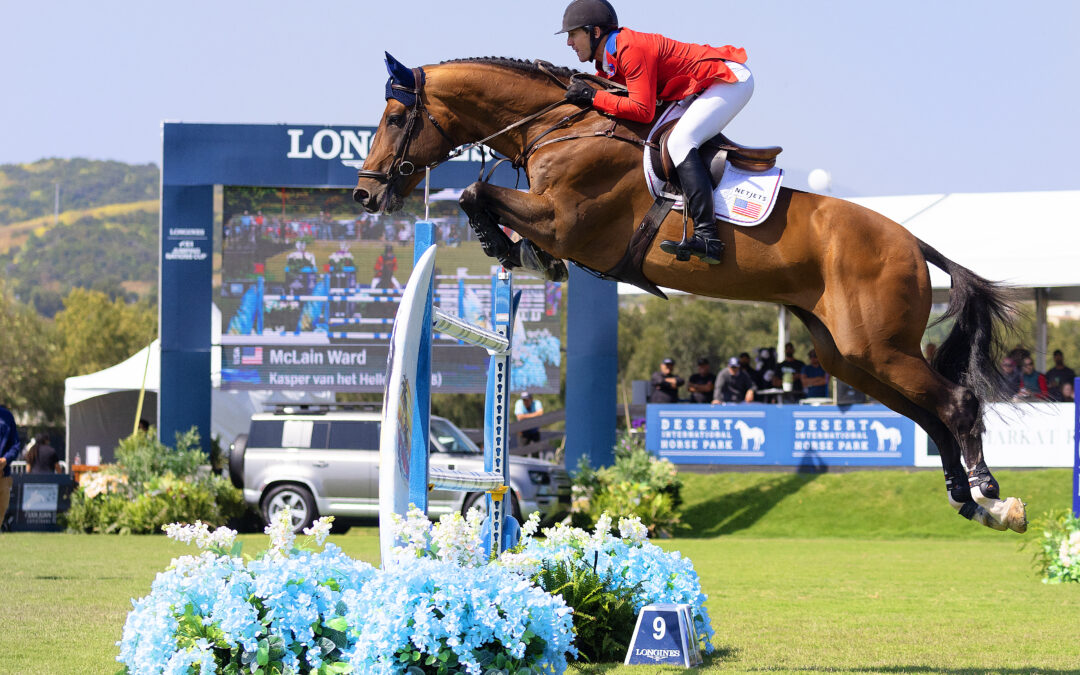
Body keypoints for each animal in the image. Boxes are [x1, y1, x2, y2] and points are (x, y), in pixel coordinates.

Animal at [354, 55, 1028, 533]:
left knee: (956, 403)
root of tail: (914, 242)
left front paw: (513, 248)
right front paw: (522, 254)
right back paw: (970, 502)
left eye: (395, 120)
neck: (559, 127)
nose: (365, 193)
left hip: (878, 348)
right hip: (848, 357)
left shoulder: (568, 221)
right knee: (930, 414)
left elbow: (478, 194)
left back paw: (992, 496)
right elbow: (481, 197)